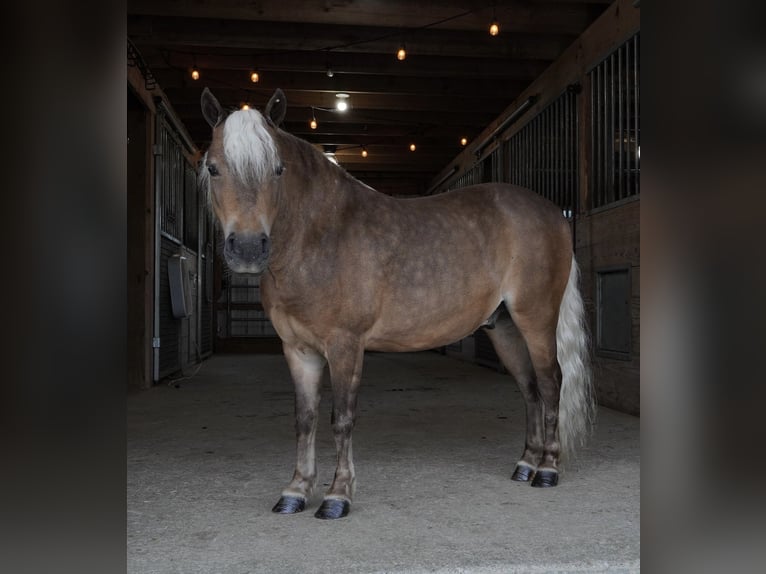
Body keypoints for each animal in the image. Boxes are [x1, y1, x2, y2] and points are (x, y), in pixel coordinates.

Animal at [199, 87, 595, 520]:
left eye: (278, 169)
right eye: (213, 168)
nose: (248, 249)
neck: (320, 237)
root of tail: (554, 213)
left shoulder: (345, 345)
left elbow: (342, 418)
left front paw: (337, 497)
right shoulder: (298, 350)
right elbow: (305, 420)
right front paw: (296, 491)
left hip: (535, 318)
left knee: (550, 382)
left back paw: (547, 470)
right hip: (504, 327)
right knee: (529, 389)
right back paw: (525, 464)